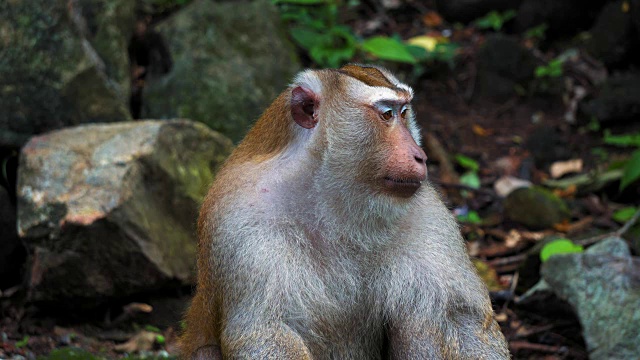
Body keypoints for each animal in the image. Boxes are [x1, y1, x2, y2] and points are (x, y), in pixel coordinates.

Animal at [179, 63, 510, 358]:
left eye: (404, 112)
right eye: (386, 114)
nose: (420, 156)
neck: (330, 201)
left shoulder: (426, 214)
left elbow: (459, 317)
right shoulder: (241, 223)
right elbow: (266, 332)